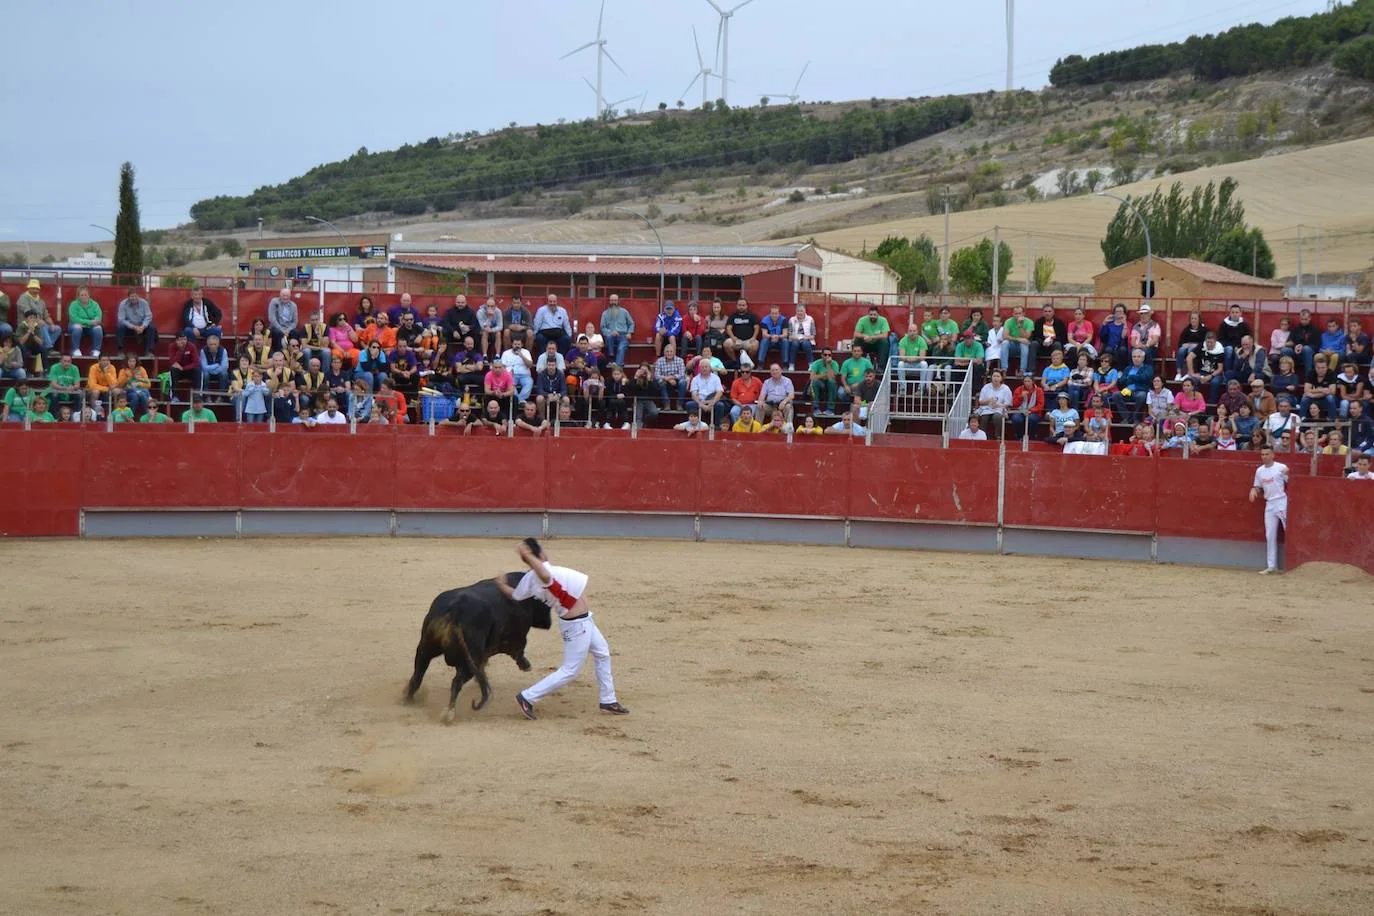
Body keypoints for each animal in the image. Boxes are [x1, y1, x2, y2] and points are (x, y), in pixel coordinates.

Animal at [401, 574, 549, 725]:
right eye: (544, 601)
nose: (548, 623)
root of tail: (455, 610)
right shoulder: (515, 636)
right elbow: (518, 649)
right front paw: (525, 665)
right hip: (467, 661)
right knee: (456, 683)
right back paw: (449, 713)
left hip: (425, 648)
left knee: (418, 675)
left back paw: (408, 701)